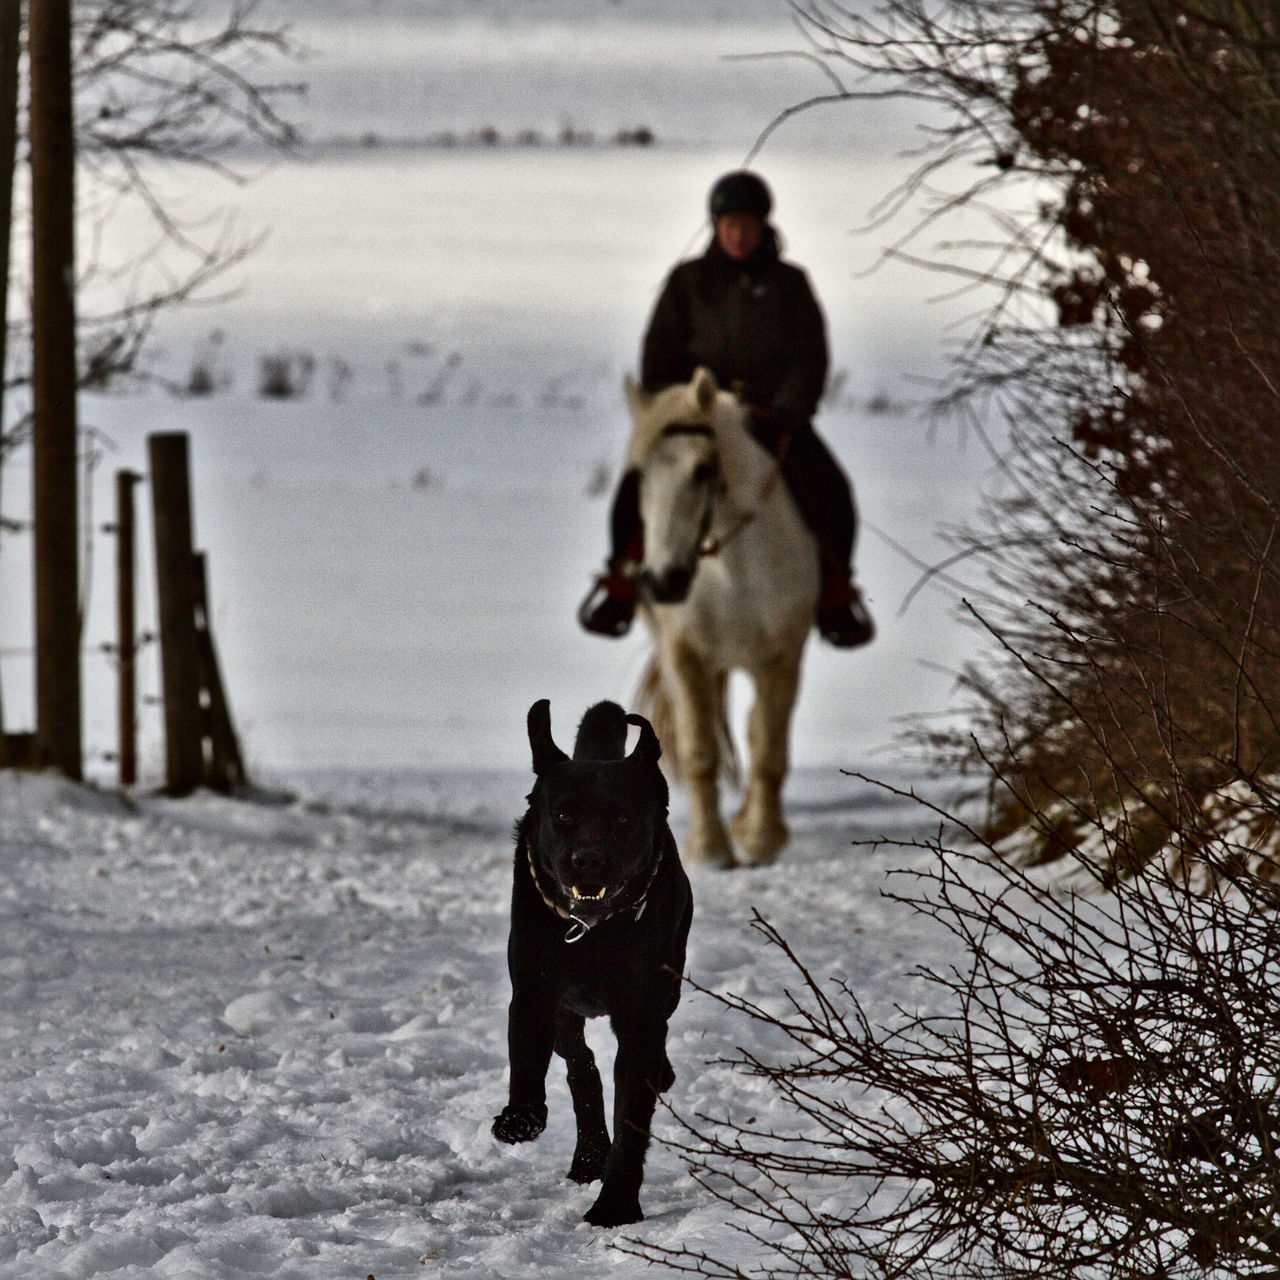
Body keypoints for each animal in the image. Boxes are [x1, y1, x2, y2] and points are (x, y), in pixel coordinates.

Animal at [491, 701, 691, 1228]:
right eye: (563, 814)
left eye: (622, 818)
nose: (588, 859)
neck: (592, 932)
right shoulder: (535, 992)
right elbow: (529, 1058)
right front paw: (520, 1118)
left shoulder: (641, 1015)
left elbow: (633, 1117)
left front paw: (615, 1206)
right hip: (567, 1013)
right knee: (581, 1066)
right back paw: (587, 1156)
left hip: (669, 987)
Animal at [627, 371, 819, 870]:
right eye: (639, 476)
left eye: (702, 470)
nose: (663, 581)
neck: (732, 571)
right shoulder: (683, 655)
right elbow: (700, 752)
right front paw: (709, 850)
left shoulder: (781, 656)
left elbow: (767, 748)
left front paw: (761, 840)